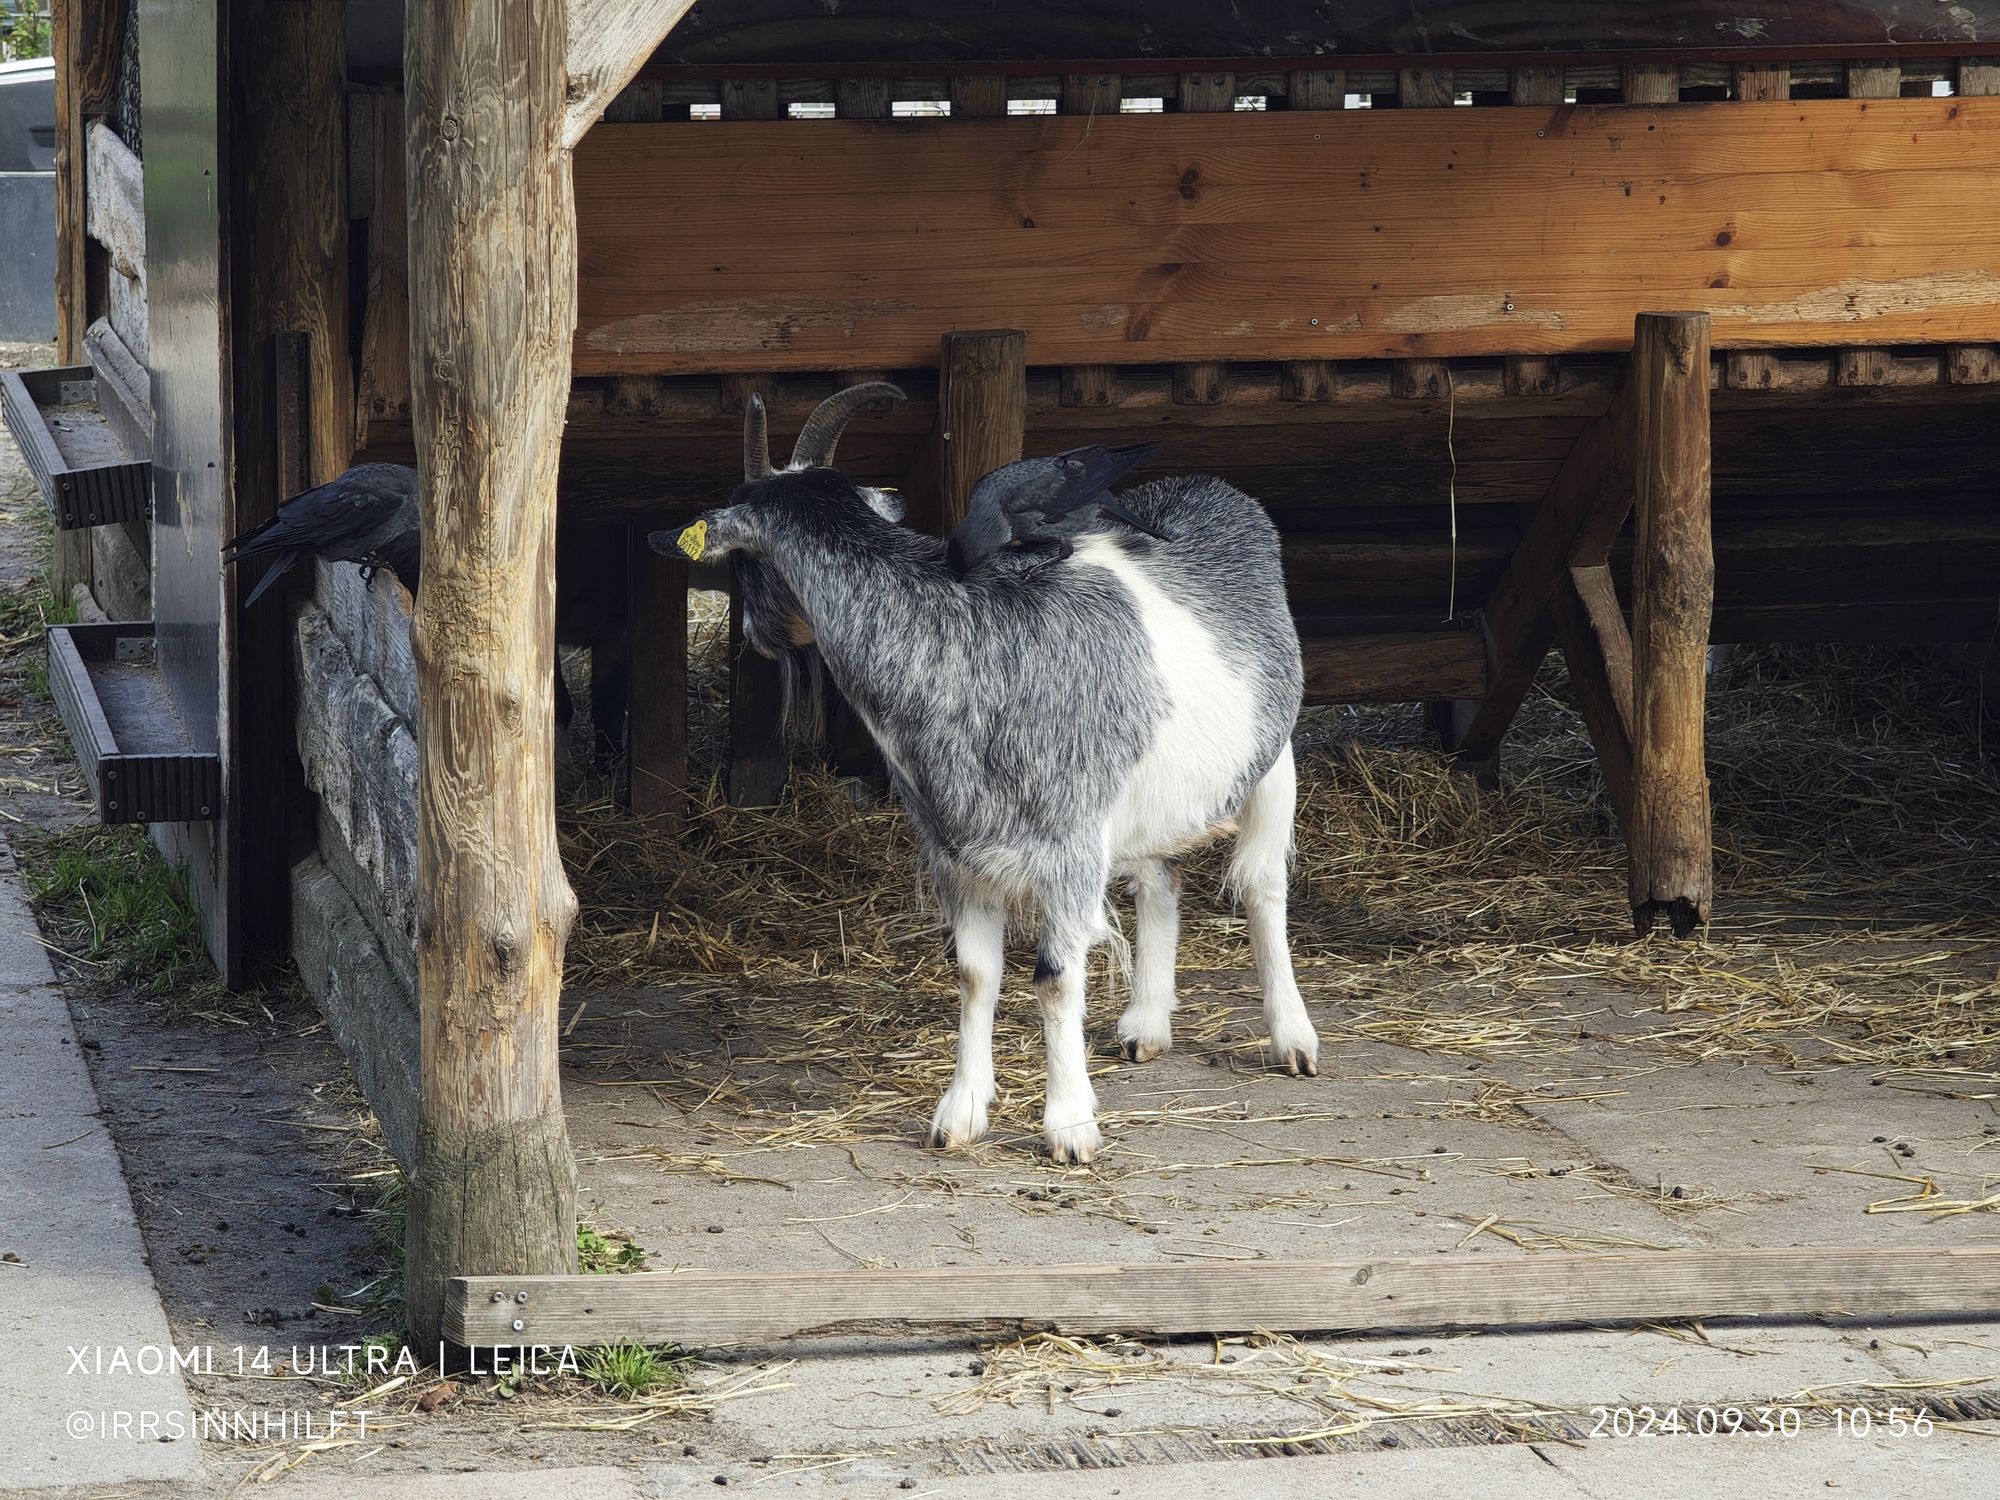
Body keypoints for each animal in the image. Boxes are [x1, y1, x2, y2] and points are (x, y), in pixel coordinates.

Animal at [648, 384, 1320, 1160]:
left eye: (741, 566)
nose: (756, 637)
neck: (966, 647)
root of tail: (1216, 490)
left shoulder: (1067, 848)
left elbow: (1055, 979)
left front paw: (1069, 1125)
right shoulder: (957, 850)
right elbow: (974, 974)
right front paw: (961, 1113)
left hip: (1273, 753)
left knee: (1263, 884)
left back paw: (1293, 1038)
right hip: (1148, 793)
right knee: (1160, 878)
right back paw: (1146, 1024)